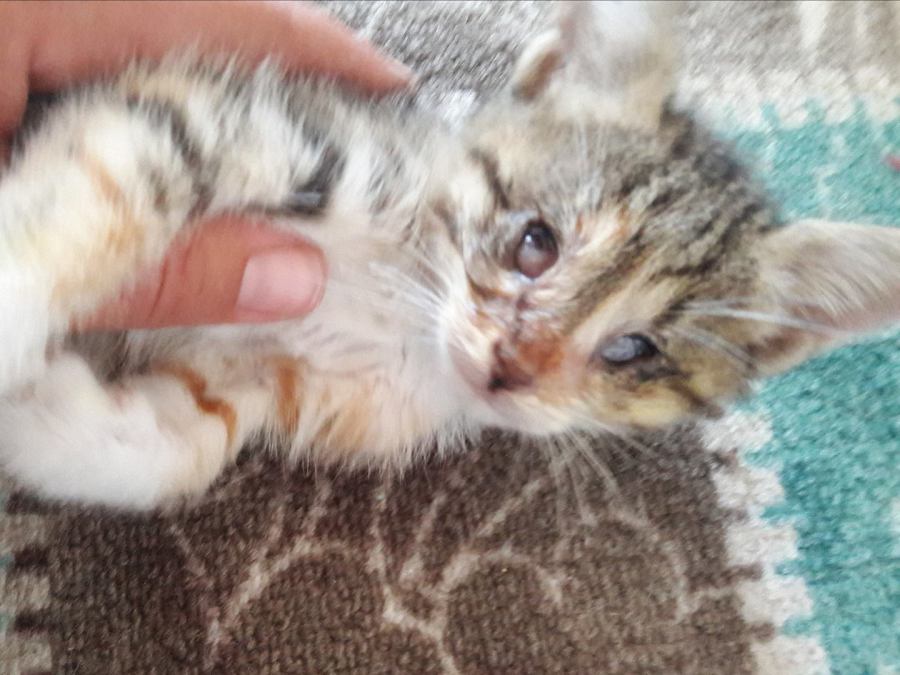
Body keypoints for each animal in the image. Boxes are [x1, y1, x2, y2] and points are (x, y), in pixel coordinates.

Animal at [0, 1, 897, 511]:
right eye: (536, 242)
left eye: (633, 349)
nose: (509, 370)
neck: (404, 306)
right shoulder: (241, 117)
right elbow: (107, 192)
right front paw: (16, 312)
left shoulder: (274, 376)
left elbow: (176, 450)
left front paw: (46, 415)